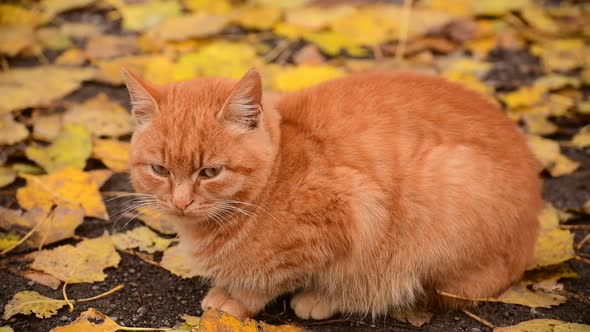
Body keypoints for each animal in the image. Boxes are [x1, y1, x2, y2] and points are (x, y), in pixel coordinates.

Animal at [122, 68, 544, 320]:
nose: (180, 202)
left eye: (210, 172)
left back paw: (323, 299)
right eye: (160, 170)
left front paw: (237, 298)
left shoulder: (352, 209)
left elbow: (272, 277)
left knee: (405, 289)